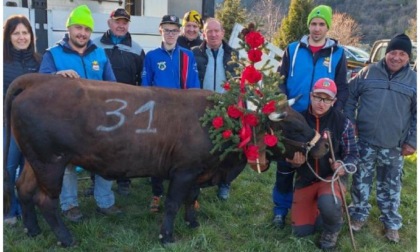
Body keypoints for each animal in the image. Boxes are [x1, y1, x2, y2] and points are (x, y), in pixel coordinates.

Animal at [4, 73, 330, 246]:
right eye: (291, 127)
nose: (323, 147)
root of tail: (39, 79)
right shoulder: (183, 170)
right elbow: (173, 202)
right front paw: (167, 235)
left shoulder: (199, 171)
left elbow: (191, 198)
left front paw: (193, 222)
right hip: (51, 162)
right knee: (45, 200)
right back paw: (66, 238)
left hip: (35, 162)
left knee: (24, 190)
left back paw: (32, 230)